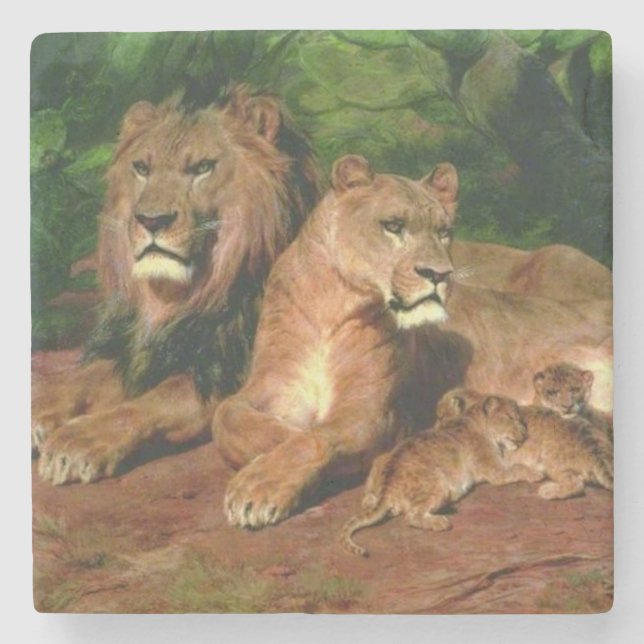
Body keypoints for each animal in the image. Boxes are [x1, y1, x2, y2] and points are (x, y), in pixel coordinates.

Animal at [33, 85, 322, 484]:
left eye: (202, 167)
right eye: (142, 168)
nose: (151, 220)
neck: (178, 299)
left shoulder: (225, 375)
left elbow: (148, 403)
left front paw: (77, 440)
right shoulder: (138, 351)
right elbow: (84, 377)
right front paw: (39, 407)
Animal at [213, 154, 461, 529]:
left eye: (444, 232)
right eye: (393, 226)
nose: (440, 274)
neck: (329, 305)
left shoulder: (372, 410)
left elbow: (316, 438)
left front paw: (259, 484)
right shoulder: (272, 385)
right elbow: (227, 416)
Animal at [340, 395, 530, 557]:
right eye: (511, 418)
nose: (524, 433)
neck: (474, 418)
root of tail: (388, 485)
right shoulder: (495, 470)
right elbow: (518, 469)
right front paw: (534, 473)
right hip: (438, 483)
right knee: (412, 515)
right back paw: (440, 522)